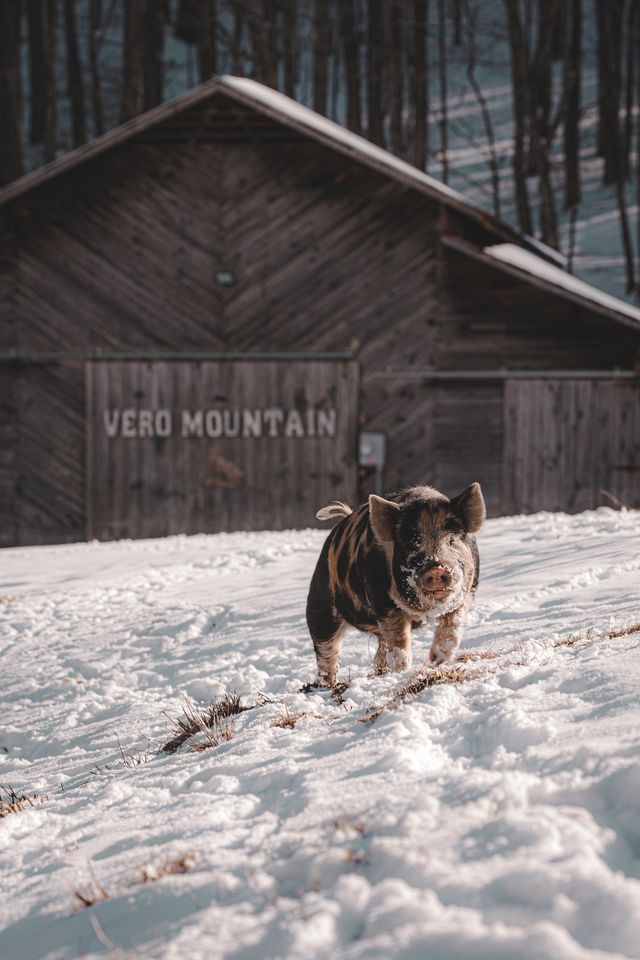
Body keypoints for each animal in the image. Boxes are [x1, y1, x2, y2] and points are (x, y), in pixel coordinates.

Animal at [306, 484, 484, 688]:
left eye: (452, 541)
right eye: (412, 543)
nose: (437, 568)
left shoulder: (467, 593)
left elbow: (453, 626)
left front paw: (437, 661)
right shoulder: (382, 601)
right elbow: (399, 640)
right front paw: (402, 671)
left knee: (380, 649)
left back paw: (380, 672)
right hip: (320, 607)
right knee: (327, 651)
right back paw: (327, 686)